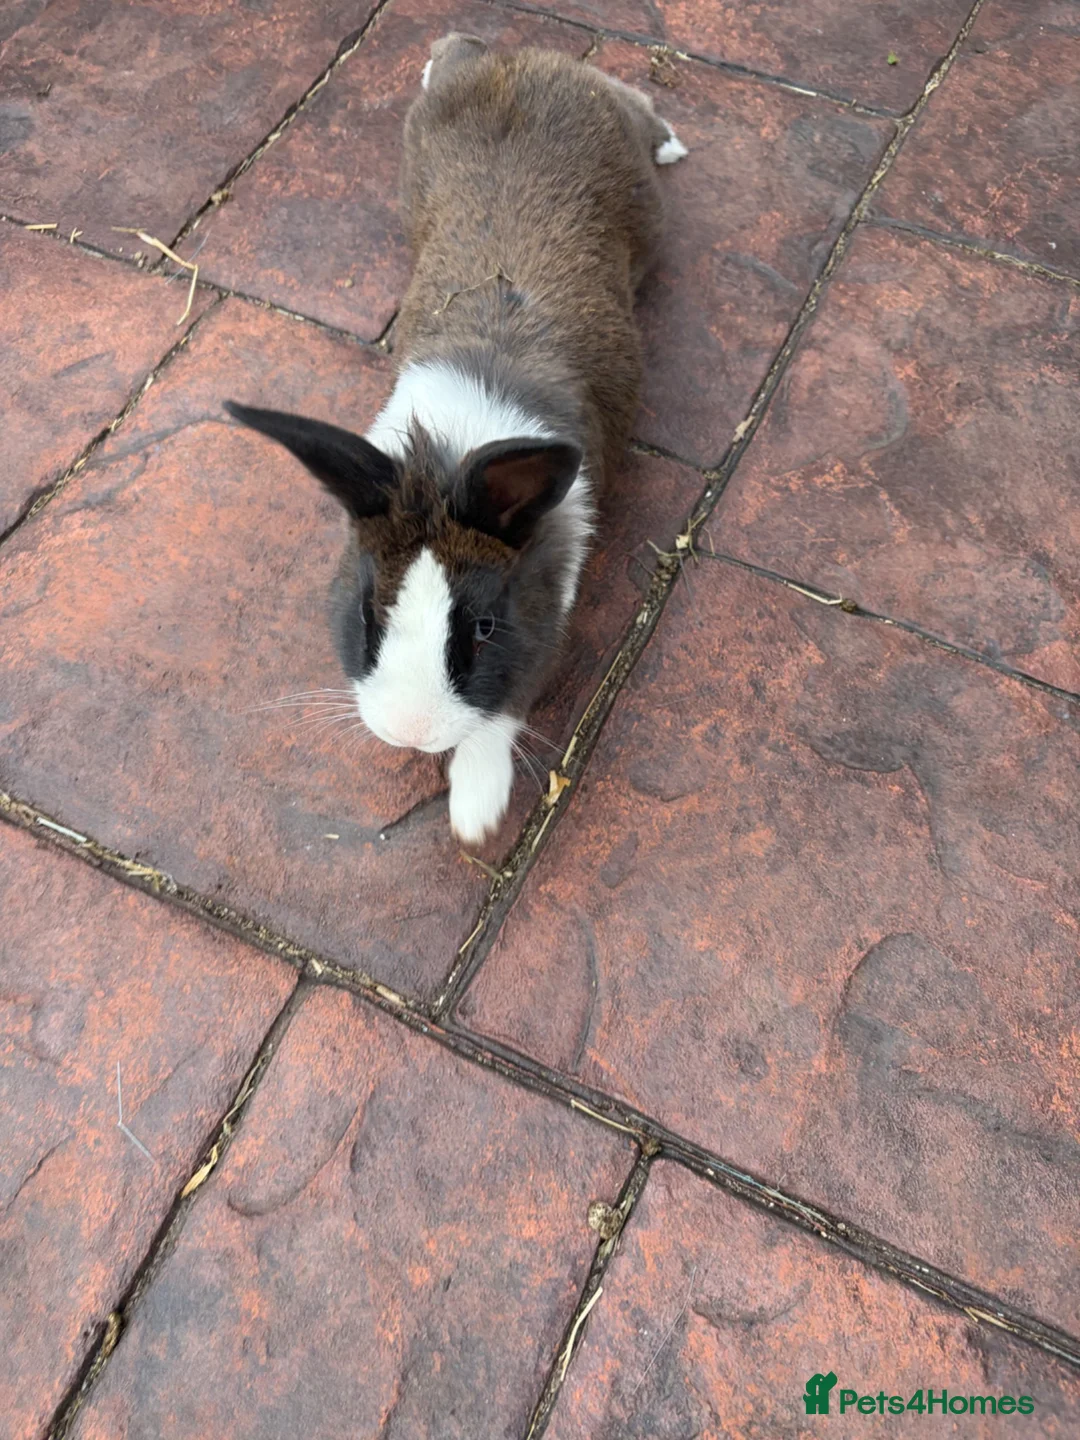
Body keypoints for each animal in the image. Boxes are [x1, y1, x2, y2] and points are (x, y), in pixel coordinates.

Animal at [226, 32, 686, 846]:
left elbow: (503, 711)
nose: (411, 733)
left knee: (633, 100)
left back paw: (670, 140)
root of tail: (520, 60)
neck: (449, 453)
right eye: (369, 612)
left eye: (484, 627)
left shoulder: (545, 620)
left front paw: (476, 811)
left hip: (642, 194)